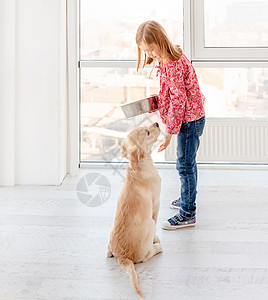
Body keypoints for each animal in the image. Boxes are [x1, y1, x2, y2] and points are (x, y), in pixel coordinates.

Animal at [107, 122, 161, 298]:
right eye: (147, 132)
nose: (157, 123)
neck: (138, 166)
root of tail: (122, 257)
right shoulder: (156, 204)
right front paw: (156, 239)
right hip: (149, 225)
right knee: (146, 256)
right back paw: (157, 247)